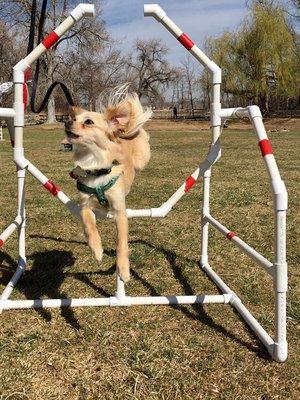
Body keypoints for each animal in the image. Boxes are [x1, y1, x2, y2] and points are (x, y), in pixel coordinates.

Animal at [64, 89, 151, 282]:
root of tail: (122, 132)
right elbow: (90, 227)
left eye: (88, 122)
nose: (66, 121)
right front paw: (97, 249)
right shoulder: (85, 206)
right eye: (74, 119)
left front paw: (123, 269)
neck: (94, 163)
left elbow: (121, 243)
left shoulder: (120, 212)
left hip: (142, 160)